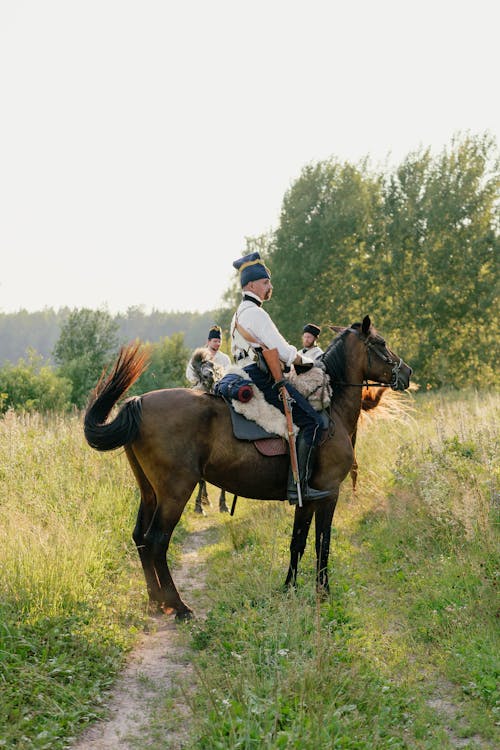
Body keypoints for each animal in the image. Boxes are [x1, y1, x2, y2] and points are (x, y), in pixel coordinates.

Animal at [84, 314, 410, 620]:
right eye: (380, 343)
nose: (406, 372)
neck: (331, 411)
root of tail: (138, 402)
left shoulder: (305, 497)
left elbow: (298, 541)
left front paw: (289, 588)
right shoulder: (329, 493)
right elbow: (323, 543)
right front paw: (323, 593)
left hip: (150, 491)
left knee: (140, 537)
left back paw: (155, 601)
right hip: (175, 492)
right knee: (156, 541)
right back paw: (178, 606)